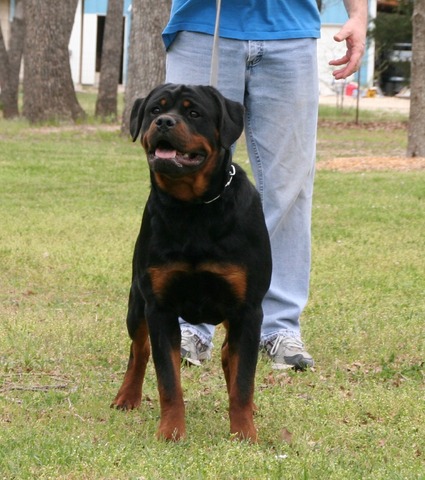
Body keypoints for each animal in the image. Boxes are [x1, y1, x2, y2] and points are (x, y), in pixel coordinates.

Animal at [112, 83, 272, 442]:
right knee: (138, 350)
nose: (165, 122)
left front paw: (244, 433)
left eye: (194, 113)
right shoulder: (159, 307)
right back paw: (127, 396)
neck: (194, 208)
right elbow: (168, 380)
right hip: (136, 305)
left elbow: (244, 380)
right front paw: (171, 431)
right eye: (155, 110)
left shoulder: (248, 308)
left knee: (231, 357)